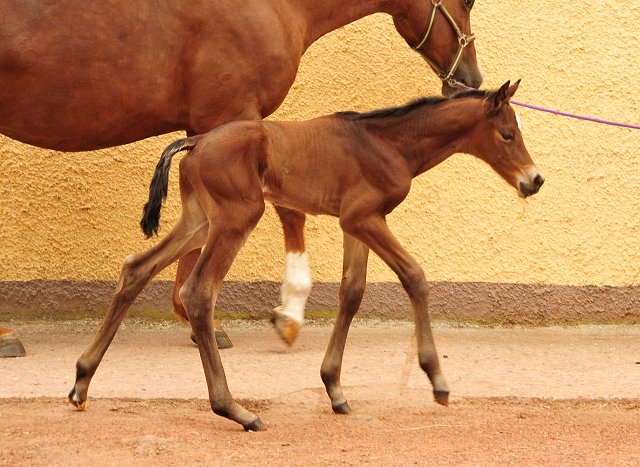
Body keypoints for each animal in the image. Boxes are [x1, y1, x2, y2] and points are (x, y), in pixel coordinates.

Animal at [0, 0, 480, 354]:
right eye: (467, 0)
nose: (470, 81)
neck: (270, 6)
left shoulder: (212, 128)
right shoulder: (234, 116)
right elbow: (285, 212)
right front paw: (287, 315)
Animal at [71, 81, 544, 432]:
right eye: (507, 134)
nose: (534, 180)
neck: (388, 142)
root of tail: (197, 141)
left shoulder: (357, 223)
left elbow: (352, 292)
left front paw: (334, 389)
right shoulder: (364, 218)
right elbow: (415, 275)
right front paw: (437, 379)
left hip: (199, 220)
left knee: (137, 267)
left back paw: (81, 381)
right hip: (237, 218)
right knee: (199, 292)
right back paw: (235, 410)